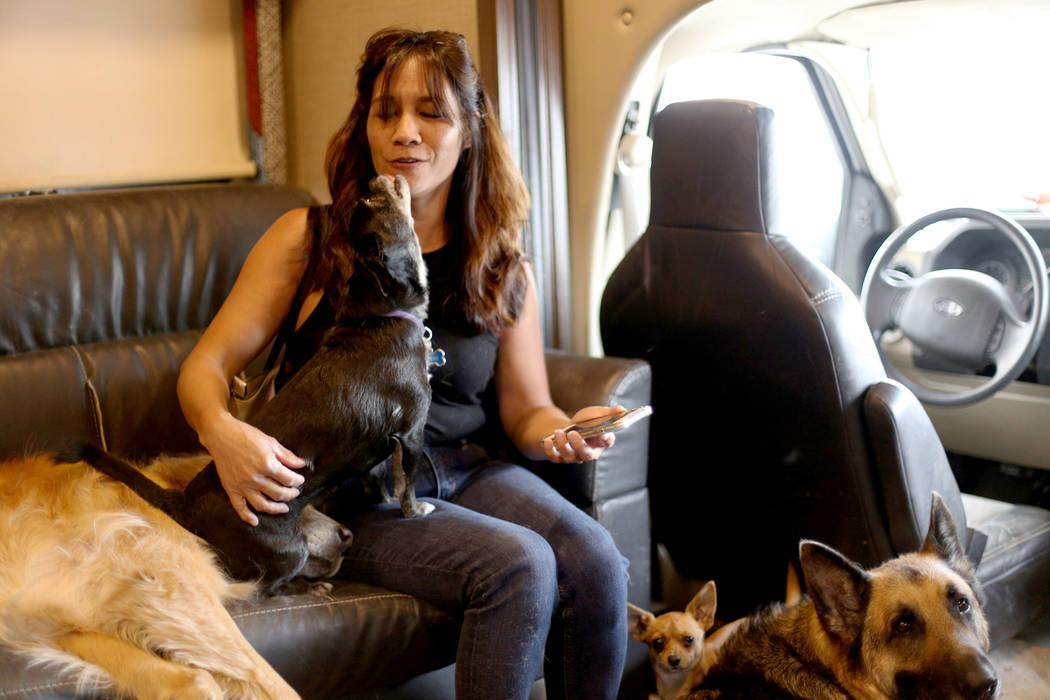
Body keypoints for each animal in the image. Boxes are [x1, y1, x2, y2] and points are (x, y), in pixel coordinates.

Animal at [63, 175, 432, 591]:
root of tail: (184, 504)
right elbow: (407, 481)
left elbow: (384, 478)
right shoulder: (413, 430)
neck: (379, 315)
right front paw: (417, 509)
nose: (373, 178)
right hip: (292, 549)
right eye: (373, 202)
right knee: (265, 587)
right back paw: (310, 587)